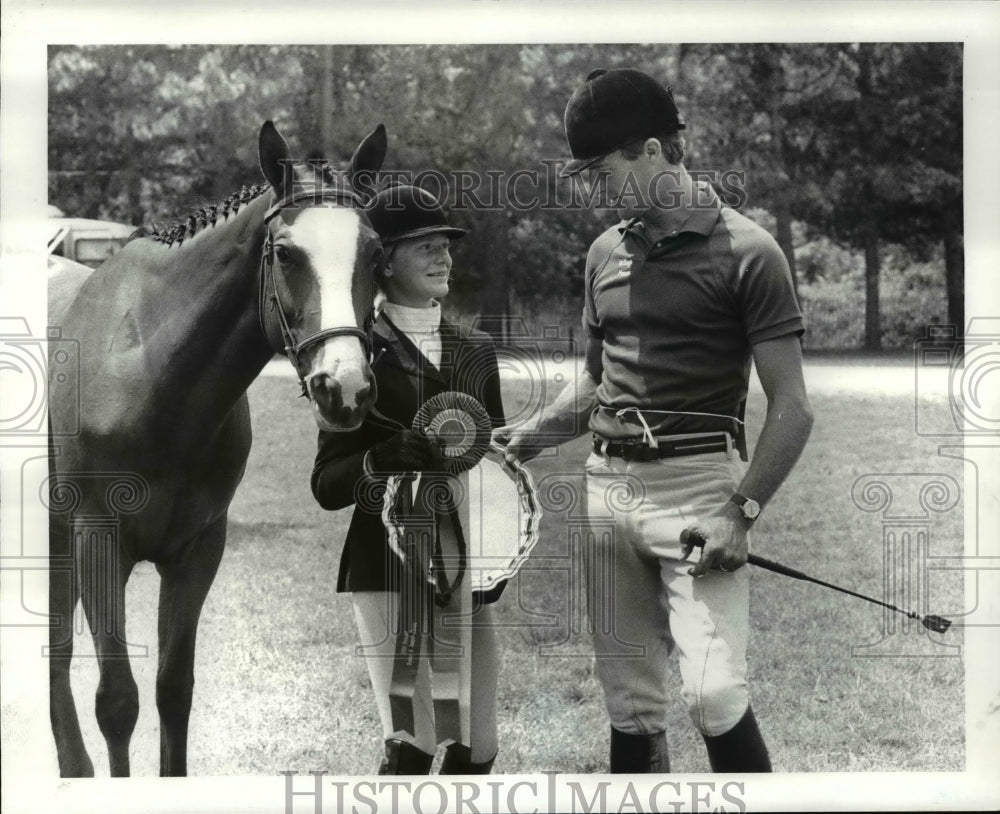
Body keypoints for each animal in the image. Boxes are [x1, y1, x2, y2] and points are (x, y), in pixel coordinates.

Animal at [48, 119, 388, 776]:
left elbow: (172, 691)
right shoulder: (98, 542)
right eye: (285, 253)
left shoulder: (198, 551)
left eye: (376, 254)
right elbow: (117, 702)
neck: (149, 371)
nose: (345, 387)